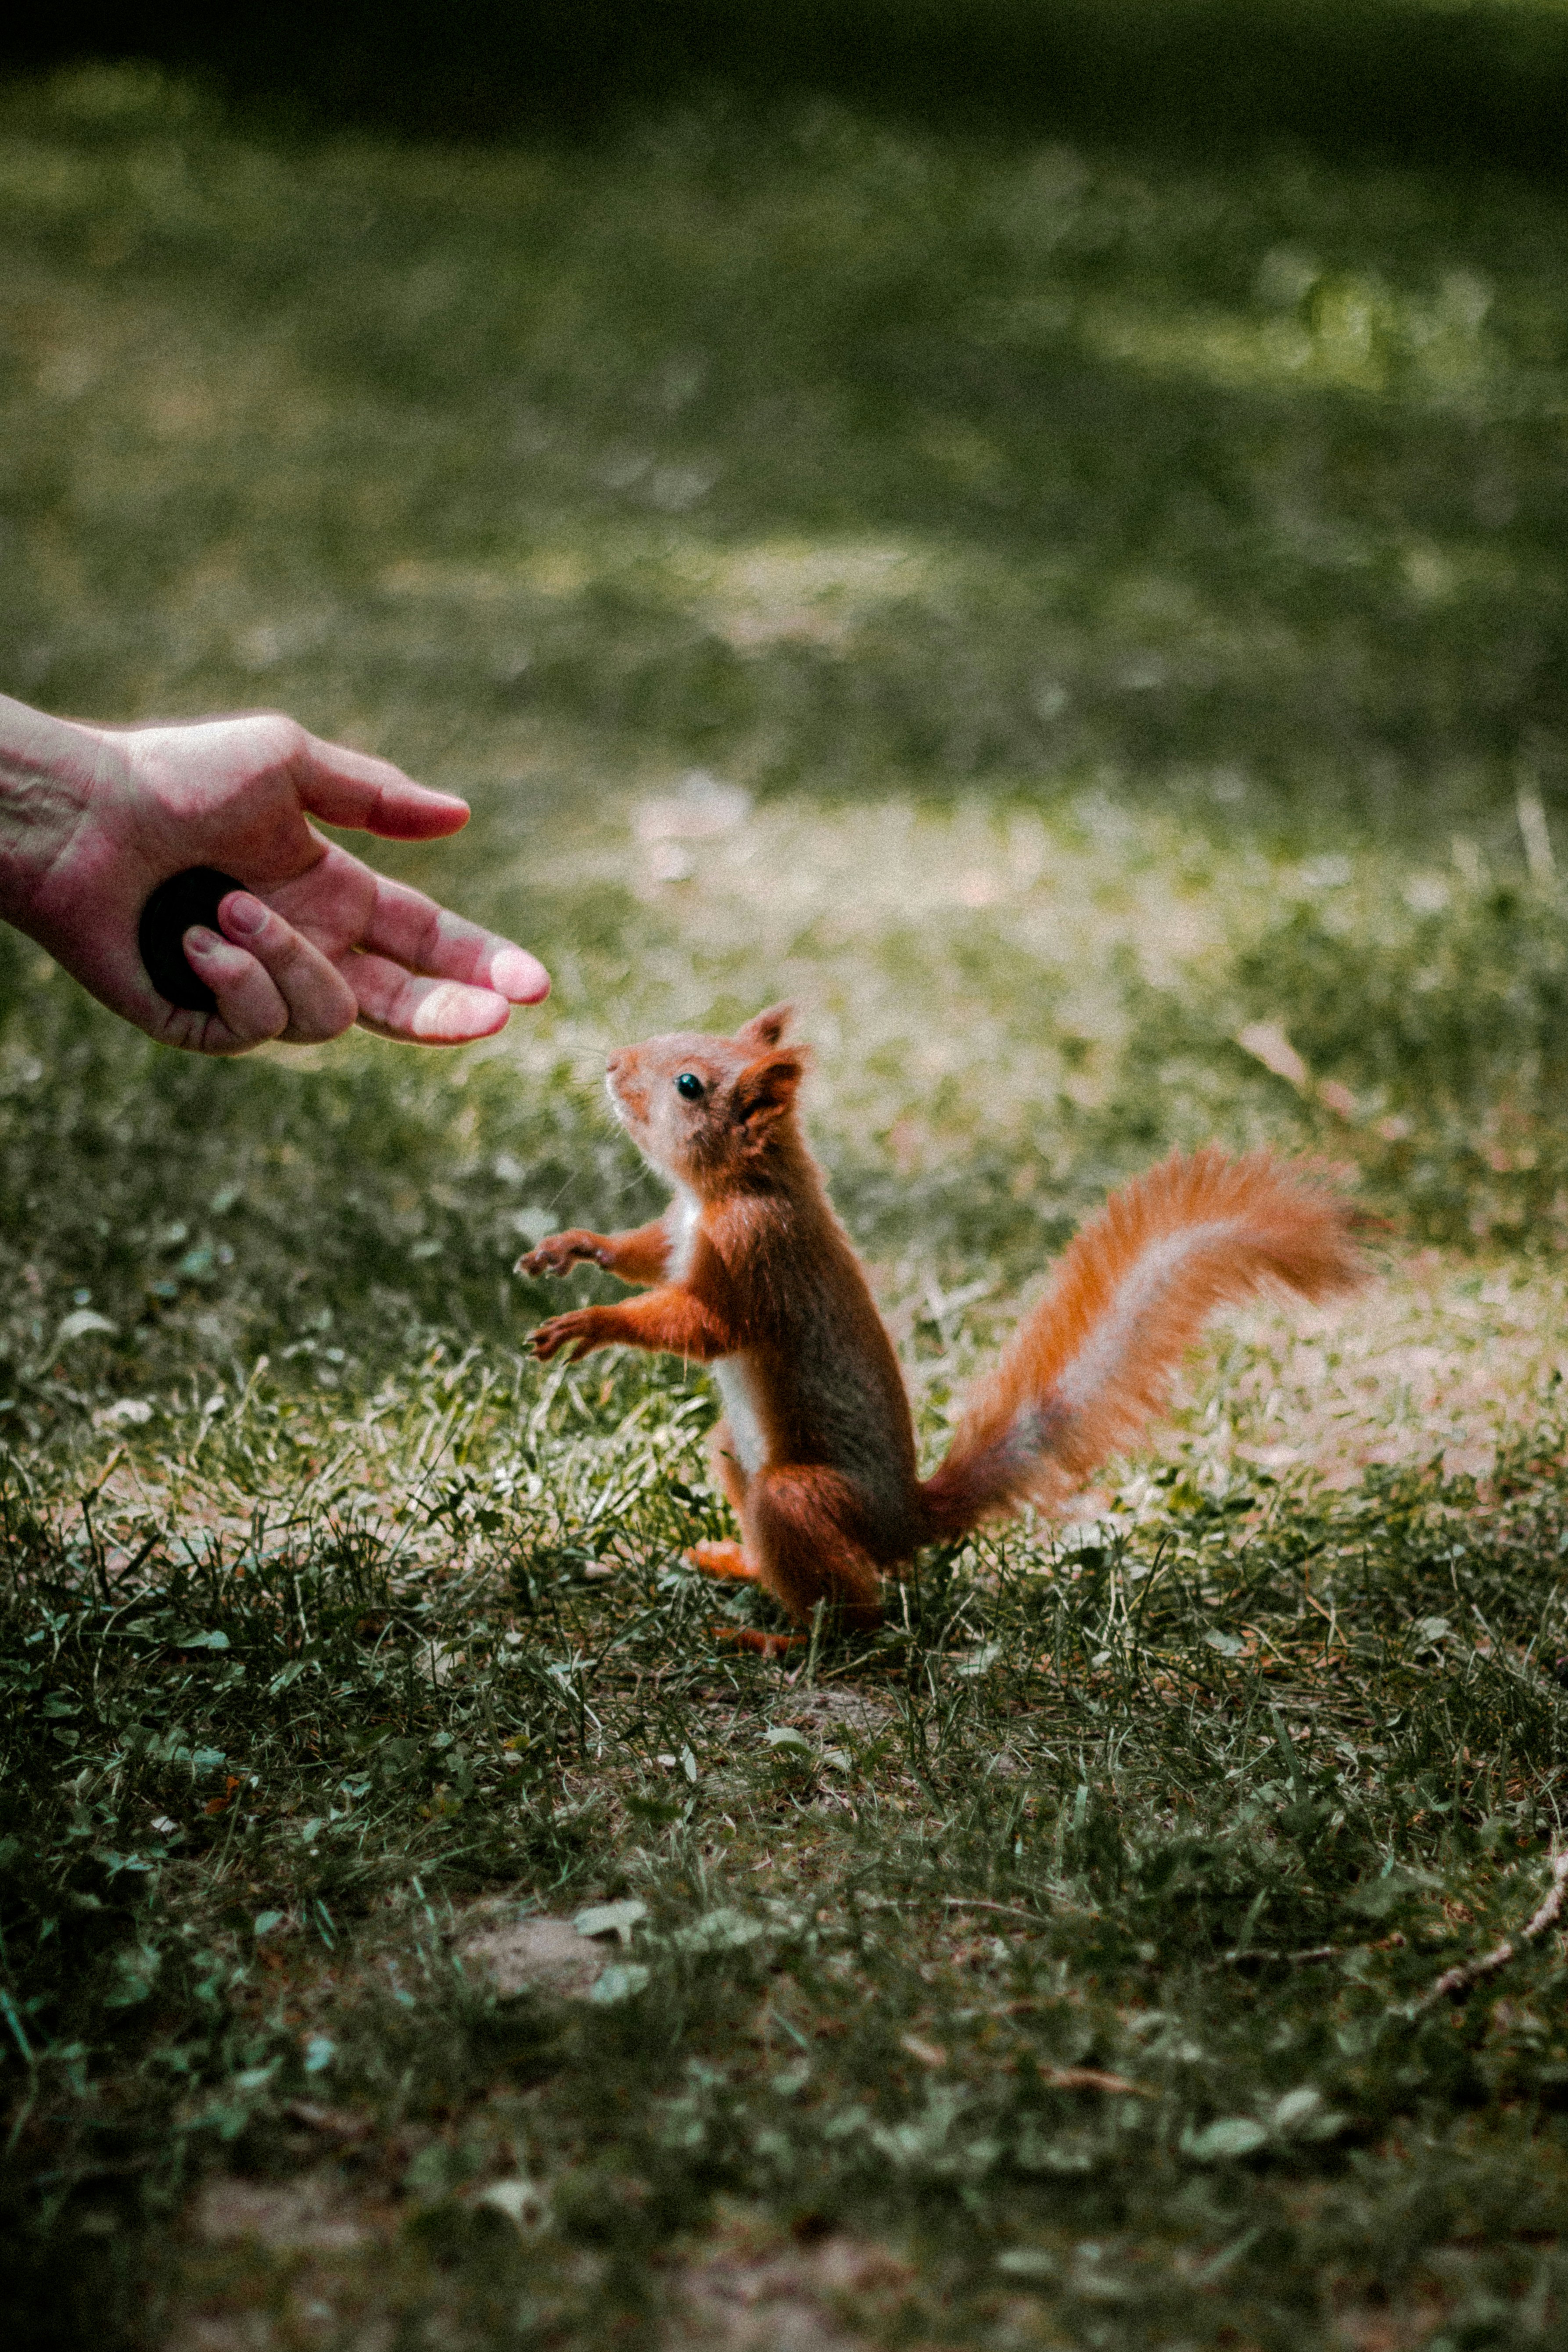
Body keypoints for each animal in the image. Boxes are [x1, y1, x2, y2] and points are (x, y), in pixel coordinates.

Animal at [519, 1005, 1361, 1646]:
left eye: (688, 1085)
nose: (611, 1064)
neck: (731, 1189)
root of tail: (904, 1522)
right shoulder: (677, 1234)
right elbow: (644, 1256)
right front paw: (574, 1247)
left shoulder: (759, 1255)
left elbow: (705, 1327)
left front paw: (591, 1323)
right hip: (734, 1450)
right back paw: (739, 1563)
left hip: (803, 1498)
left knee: (856, 1618)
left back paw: (786, 1640)